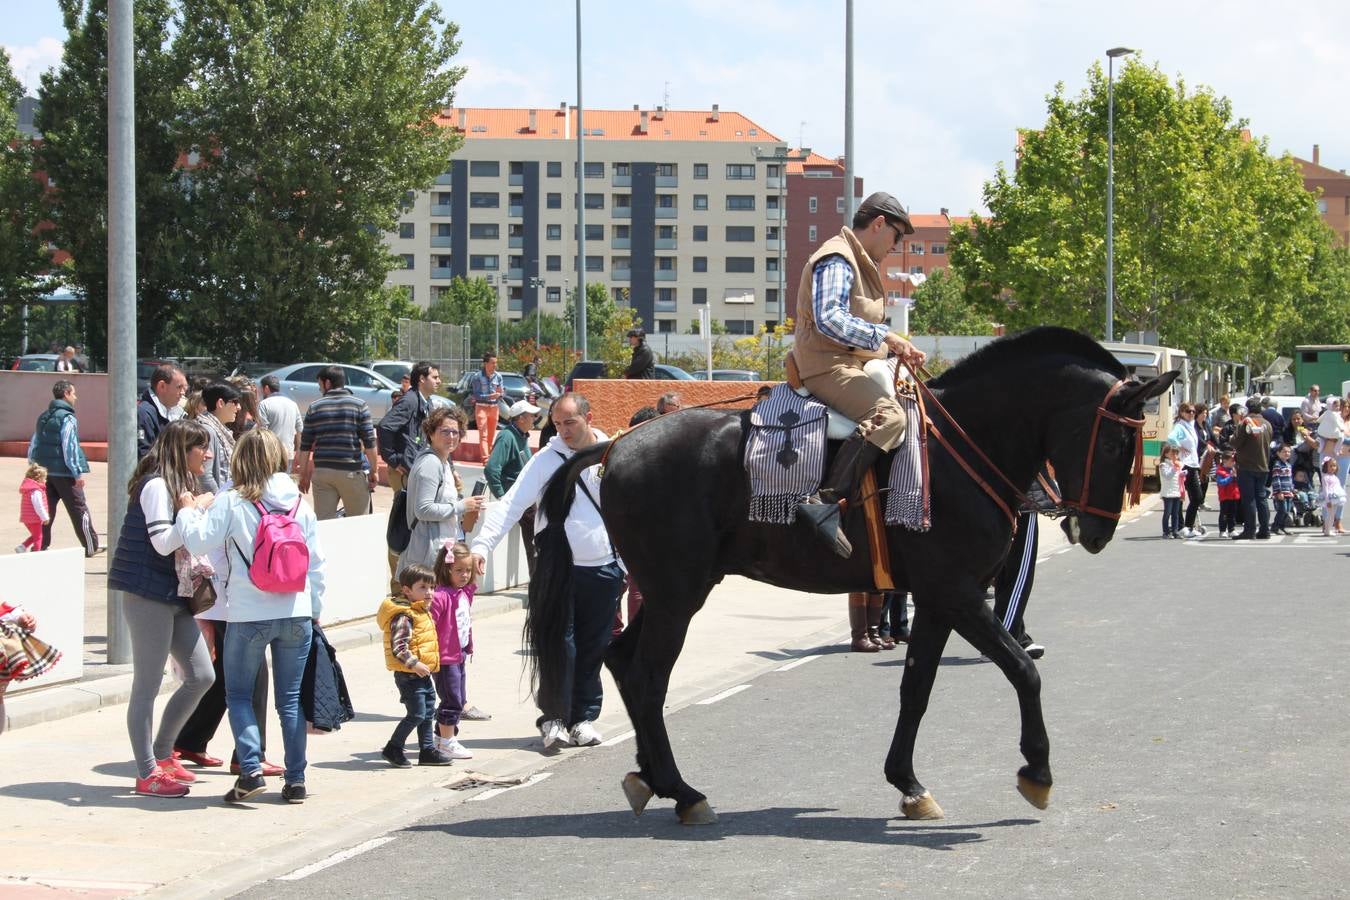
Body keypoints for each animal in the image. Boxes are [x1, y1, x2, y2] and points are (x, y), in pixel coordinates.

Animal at [521, 327, 1177, 825]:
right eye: (1115, 440)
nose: (1096, 531)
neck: (958, 447)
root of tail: (616, 446)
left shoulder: (937, 601)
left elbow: (917, 688)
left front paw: (908, 783)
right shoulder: (961, 595)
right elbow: (1022, 671)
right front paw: (1036, 769)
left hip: (667, 594)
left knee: (623, 663)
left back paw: (652, 780)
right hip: (676, 594)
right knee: (646, 676)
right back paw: (682, 791)